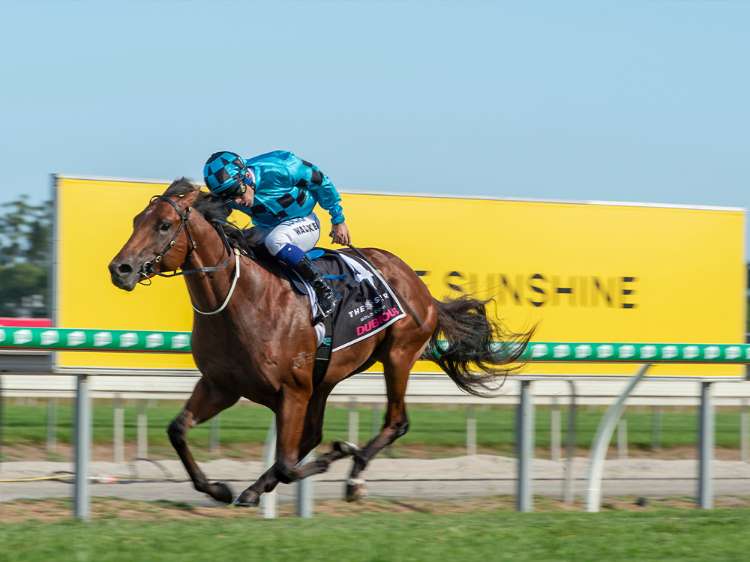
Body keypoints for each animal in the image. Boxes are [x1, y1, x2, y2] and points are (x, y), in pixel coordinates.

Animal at [108, 178, 530, 507]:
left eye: (164, 226)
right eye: (136, 221)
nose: (120, 269)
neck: (242, 299)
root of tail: (420, 287)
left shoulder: (292, 391)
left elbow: (286, 462)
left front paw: (333, 457)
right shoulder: (221, 385)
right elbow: (178, 430)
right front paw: (218, 489)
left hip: (398, 354)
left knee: (396, 421)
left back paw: (354, 475)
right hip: (325, 378)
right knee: (314, 434)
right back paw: (260, 487)